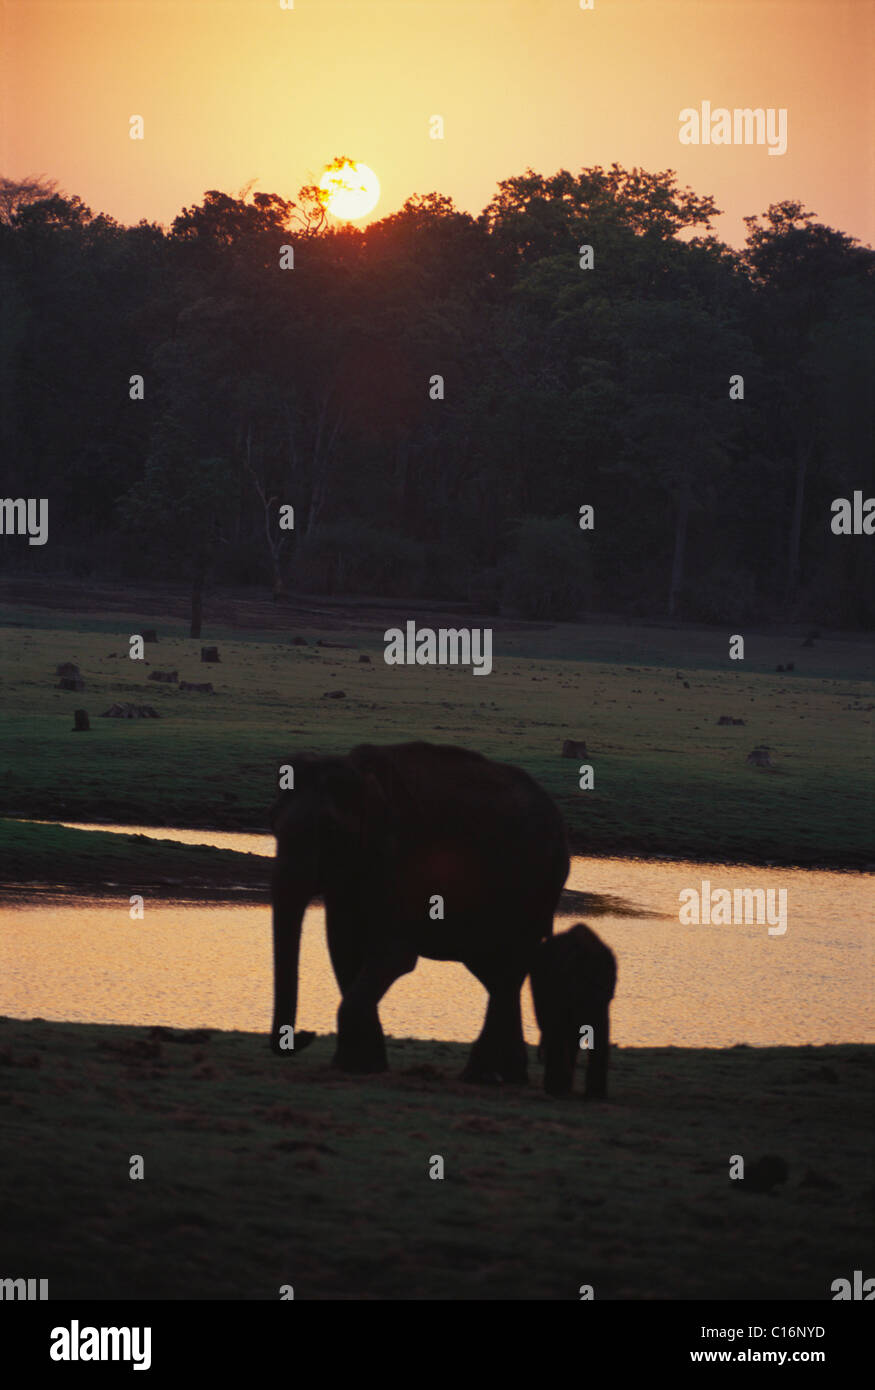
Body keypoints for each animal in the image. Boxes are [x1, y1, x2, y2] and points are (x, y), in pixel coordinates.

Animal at [268, 745, 567, 1078]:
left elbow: (393, 955)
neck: (361, 773)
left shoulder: (401, 860)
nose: (305, 1034)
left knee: (509, 968)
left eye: (331, 830)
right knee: (495, 972)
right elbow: (343, 948)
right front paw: (358, 1066)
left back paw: (483, 1076)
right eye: (272, 825)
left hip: (537, 888)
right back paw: (501, 1076)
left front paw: (358, 1066)